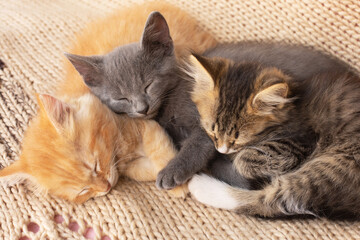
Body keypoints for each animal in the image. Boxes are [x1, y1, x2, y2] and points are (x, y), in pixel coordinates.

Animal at [0, 2, 217, 204]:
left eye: (94, 165)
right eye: (83, 191)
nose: (105, 187)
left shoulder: (147, 125)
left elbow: (162, 150)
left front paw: (178, 185)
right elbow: (138, 171)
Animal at [66, 11, 348, 190]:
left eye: (149, 84)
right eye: (121, 98)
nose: (142, 108)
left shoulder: (210, 123)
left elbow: (199, 145)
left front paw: (173, 171)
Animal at [187, 54, 358, 219]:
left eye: (237, 139)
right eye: (213, 132)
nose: (221, 150)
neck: (291, 109)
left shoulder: (301, 141)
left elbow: (244, 159)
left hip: (334, 167)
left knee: (271, 202)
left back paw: (200, 185)